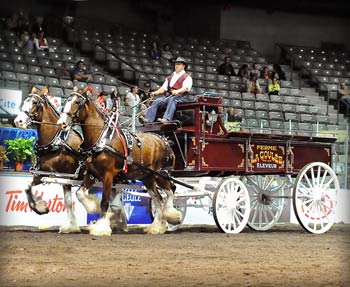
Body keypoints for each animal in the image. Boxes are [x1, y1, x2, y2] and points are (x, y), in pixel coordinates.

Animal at [14, 88, 104, 234]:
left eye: (34, 102)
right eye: (25, 101)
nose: (18, 121)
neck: (57, 142)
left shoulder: (63, 176)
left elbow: (68, 201)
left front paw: (71, 225)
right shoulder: (43, 173)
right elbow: (27, 187)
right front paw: (41, 208)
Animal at [57, 86, 182, 235]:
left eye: (76, 102)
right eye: (66, 101)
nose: (61, 123)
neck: (101, 139)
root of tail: (165, 141)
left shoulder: (108, 176)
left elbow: (105, 201)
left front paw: (101, 227)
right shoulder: (92, 174)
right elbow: (80, 193)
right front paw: (94, 208)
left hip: (161, 174)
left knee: (170, 191)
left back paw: (172, 216)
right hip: (147, 177)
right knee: (158, 198)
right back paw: (156, 226)